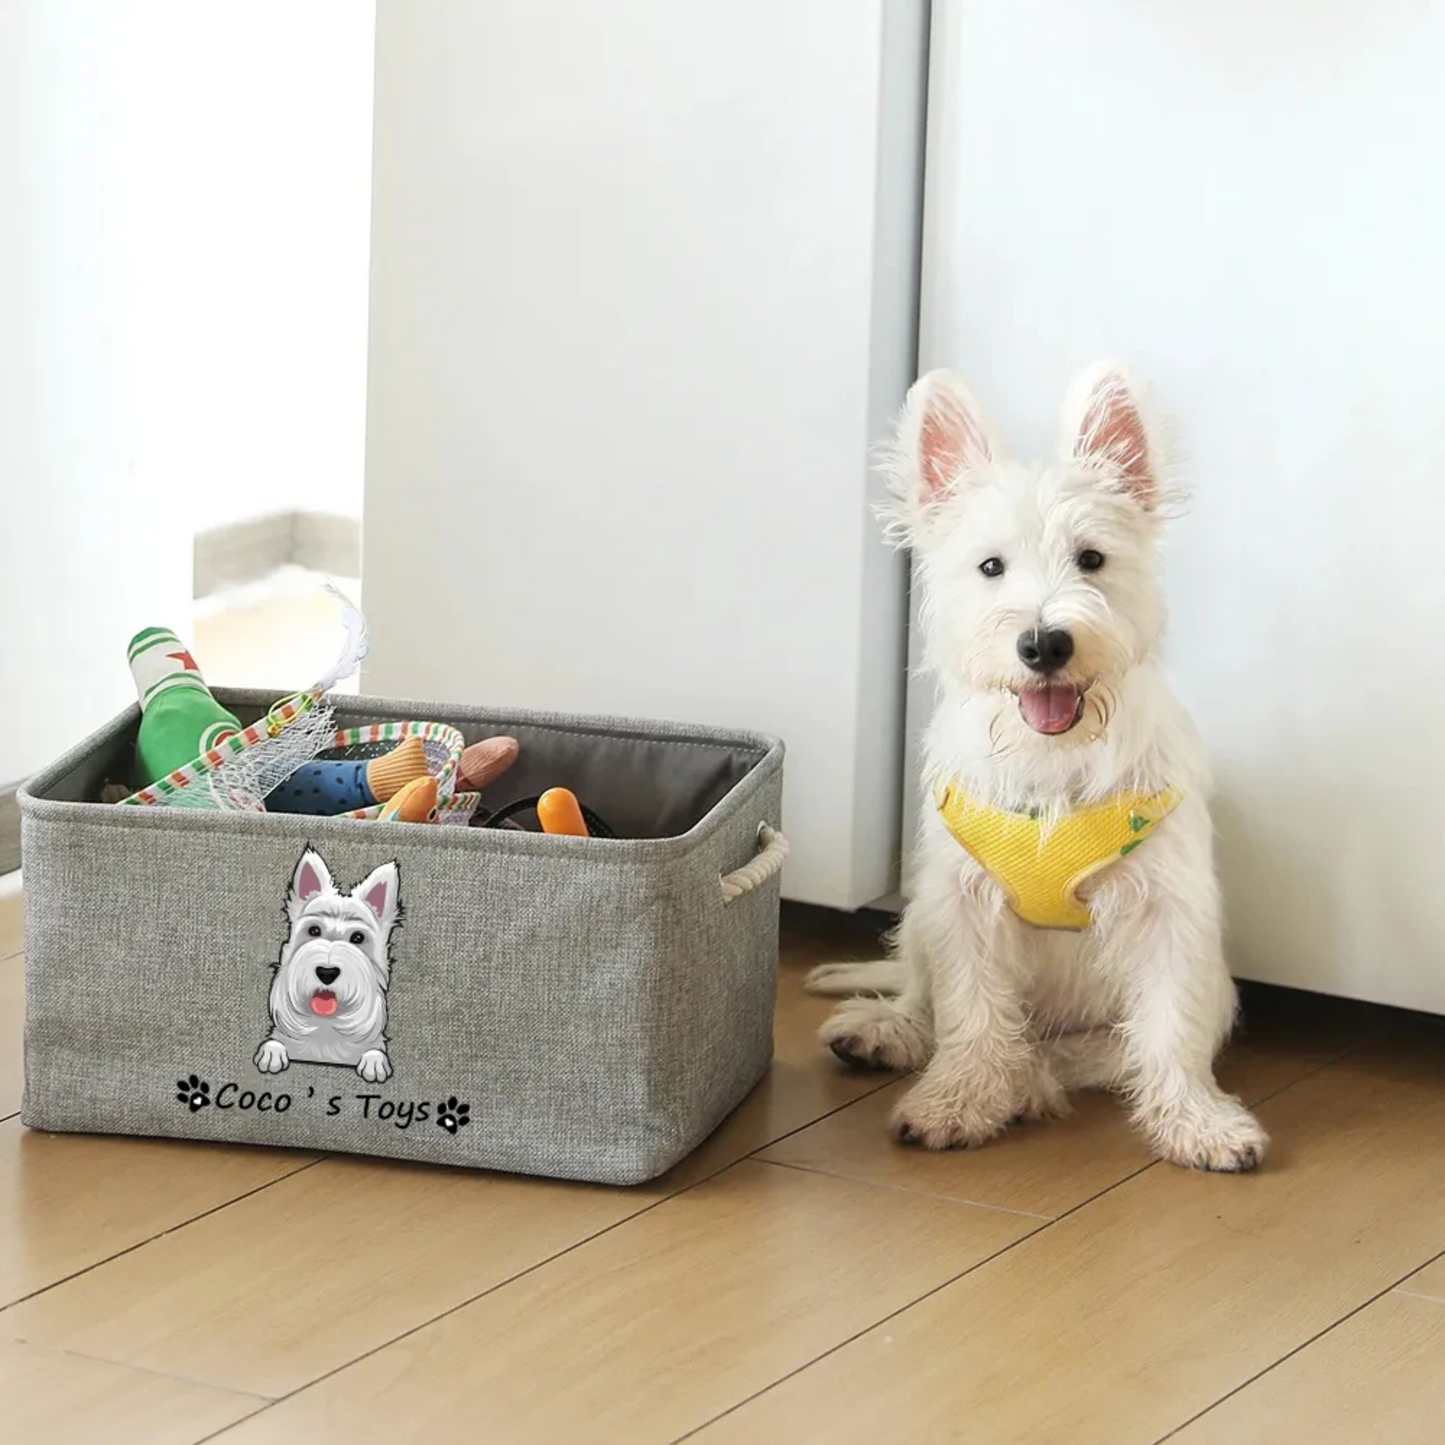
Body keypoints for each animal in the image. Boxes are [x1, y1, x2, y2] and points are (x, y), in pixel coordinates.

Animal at [255, 843, 401, 1086]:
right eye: (314, 930)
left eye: (358, 938)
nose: (327, 972)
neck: (326, 1025)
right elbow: (275, 1041)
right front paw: (271, 1054)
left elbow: (375, 1050)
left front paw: (374, 1063)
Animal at [814, 361, 1265, 1173]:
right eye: (990, 566)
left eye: (1091, 558)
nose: (1044, 643)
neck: (1053, 758)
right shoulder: (963, 903)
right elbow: (970, 1013)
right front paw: (957, 1099)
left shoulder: (1167, 912)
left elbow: (1169, 1030)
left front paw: (1199, 1122)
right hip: (922, 919)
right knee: (926, 1002)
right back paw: (886, 1032)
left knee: (1090, 1053)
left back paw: (1027, 1080)